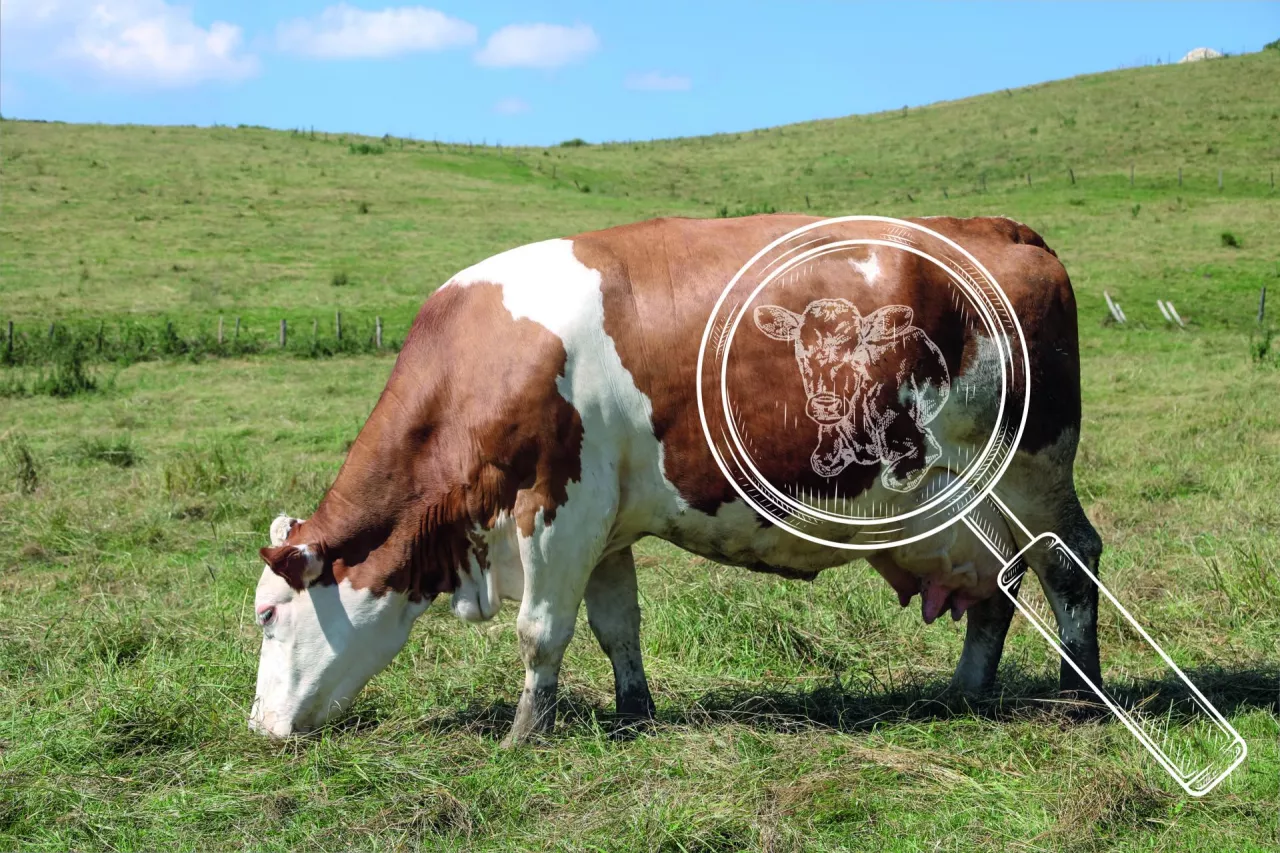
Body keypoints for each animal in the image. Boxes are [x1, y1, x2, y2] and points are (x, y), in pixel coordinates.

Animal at [249, 214, 1102, 746]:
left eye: (266, 616)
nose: (259, 727)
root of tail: (1000, 229)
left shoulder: (555, 506)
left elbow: (540, 629)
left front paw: (527, 733)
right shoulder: (603, 521)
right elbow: (616, 624)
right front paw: (633, 712)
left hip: (1034, 470)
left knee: (1070, 563)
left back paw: (1081, 695)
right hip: (972, 501)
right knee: (999, 583)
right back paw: (966, 690)